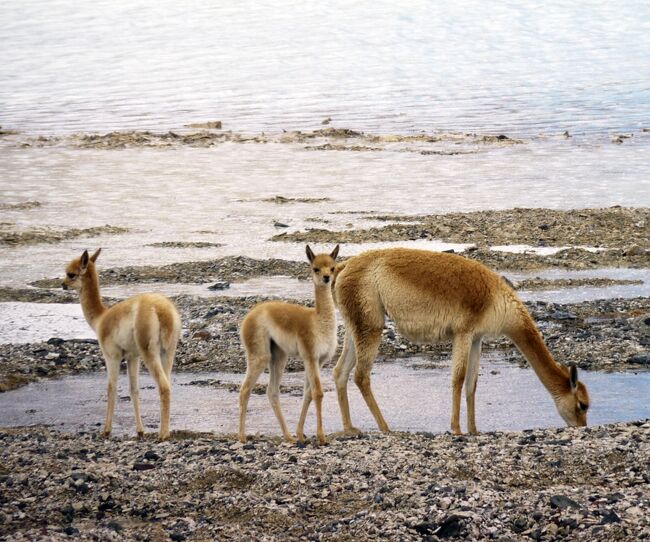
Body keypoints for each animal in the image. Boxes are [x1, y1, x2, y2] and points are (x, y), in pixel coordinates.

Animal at [63, 251, 180, 442]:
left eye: (71, 274)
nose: (63, 284)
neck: (100, 319)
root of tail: (163, 312)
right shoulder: (132, 356)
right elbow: (134, 390)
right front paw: (140, 431)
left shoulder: (112, 355)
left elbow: (111, 388)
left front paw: (106, 430)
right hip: (168, 351)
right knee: (168, 384)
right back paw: (166, 431)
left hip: (149, 350)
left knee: (163, 386)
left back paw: (162, 434)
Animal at [238, 246, 340, 446]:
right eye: (316, 268)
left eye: (332, 267)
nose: (326, 278)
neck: (319, 322)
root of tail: (249, 315)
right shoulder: (310, 356)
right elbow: (318, 392)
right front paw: (321, 437)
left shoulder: (319, 360)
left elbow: (308, 394)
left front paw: (300, 434)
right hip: (260, 354)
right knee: (245, 390)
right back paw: (242, 437)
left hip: (279, 355)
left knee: (272, 392)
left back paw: (288, 436)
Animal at [332, 251, 588, 438]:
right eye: (583, 405)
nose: (583, 427)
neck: (498, 302)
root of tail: (343, 267)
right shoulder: (463, 332)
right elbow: (459, 378)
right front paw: (456, 428)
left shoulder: (476, 338)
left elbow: (472, 383)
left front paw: (474, 429)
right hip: (370, 323)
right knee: (361, 376)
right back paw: (385, 427)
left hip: (356, 322)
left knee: (339, 371)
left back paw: (349, 428)